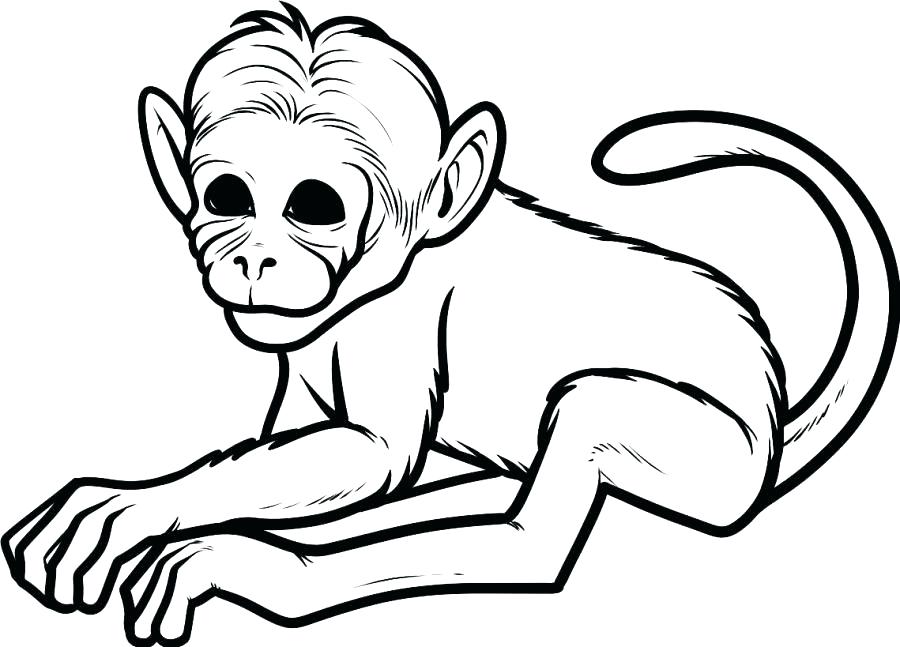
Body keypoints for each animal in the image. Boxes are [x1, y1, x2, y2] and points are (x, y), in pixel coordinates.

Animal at [2, 4, 897, 646]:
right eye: (227, 197)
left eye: (314, 206)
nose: (255, 259)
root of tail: (773, 420)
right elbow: (297, 450)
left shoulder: (394, 322)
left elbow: (375, 453)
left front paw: (162, 515)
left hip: (713, 457)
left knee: (537, 521)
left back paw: (276, 571)